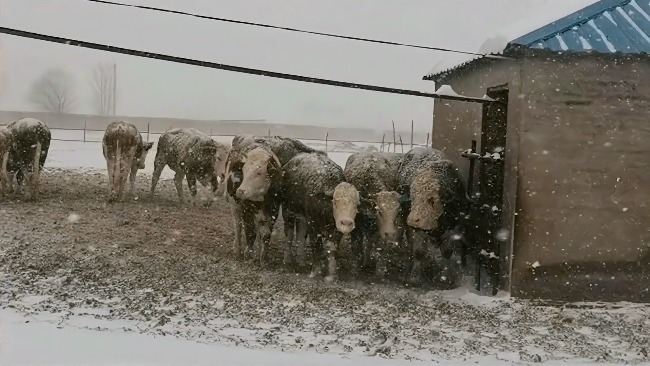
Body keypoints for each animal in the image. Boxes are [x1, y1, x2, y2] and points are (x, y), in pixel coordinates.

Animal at [225, 136, 324, 268]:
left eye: (258, 172)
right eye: (244, 171)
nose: (241, 191)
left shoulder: (273, 209)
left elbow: (266, 234)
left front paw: (264, 257)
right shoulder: (246, 208)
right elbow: (250, 232)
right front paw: (248, 255)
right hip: (234, 206)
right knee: (238, 225)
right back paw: (237, 248)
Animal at [280, 152, 346, 284]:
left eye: (356, 205)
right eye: (336, 202)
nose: (347, 222)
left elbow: (332, 248)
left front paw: (331, 274)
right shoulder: (313, 223)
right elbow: (316, 245)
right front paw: (315, 272)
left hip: (302, 217)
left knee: (300, 234)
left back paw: (301, 260)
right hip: (288, 210)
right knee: (289, 233)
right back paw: (287, 259)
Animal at [334, 152, 404, 280]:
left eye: (397, 213)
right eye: (379, 211)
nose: (390, 234)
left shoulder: (378, 229)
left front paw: (379, 270)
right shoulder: (356, 223)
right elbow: (356, 245)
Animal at [398, 147, 468, 288]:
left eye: (432, 200)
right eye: (412, 198)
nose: (413, 221)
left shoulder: (454, 228)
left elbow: (447, 252)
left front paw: (445, 278)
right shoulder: (417, 231)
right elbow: (419, 251)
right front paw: (415, 277)